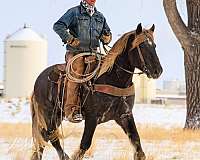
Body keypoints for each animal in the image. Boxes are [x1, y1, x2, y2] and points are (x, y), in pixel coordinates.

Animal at [30, 23, 162, 160]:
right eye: (142, 46)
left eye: (154, 45)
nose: (157, 71)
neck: (113, 79)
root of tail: (39, 78)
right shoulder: (92, 117)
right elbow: (84, 145)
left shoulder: (125, 115)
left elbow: (138, 145)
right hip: (49, 114)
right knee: (50, 136)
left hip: (56, 116)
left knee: (45, 138)